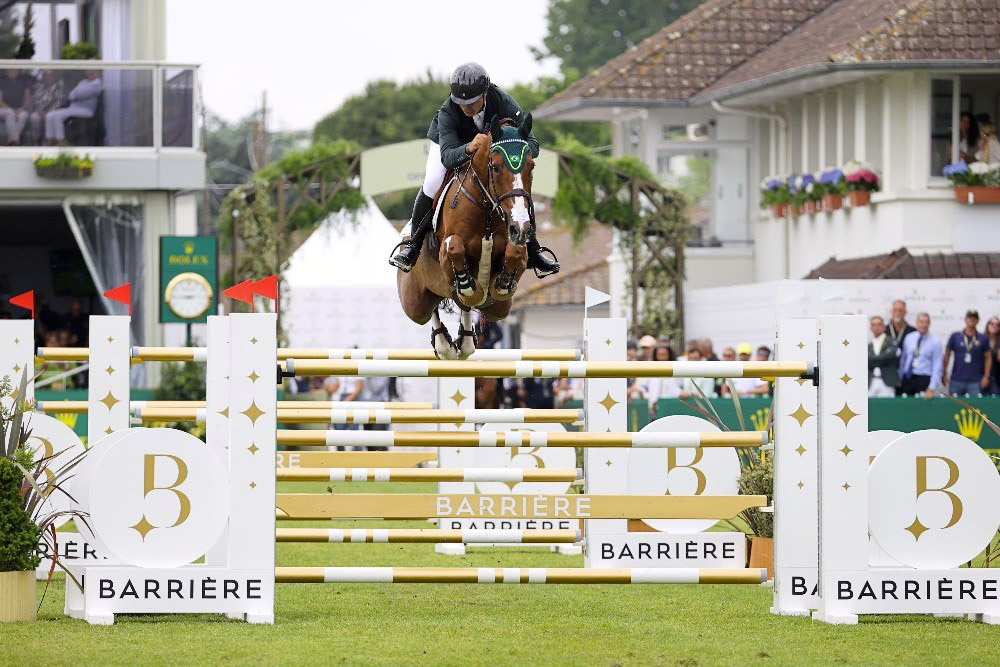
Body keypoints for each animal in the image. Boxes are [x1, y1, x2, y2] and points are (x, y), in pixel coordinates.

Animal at [396, 113, 540, 360]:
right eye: (496, 167)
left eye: (531, 166)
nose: (520, 227)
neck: (487, 210)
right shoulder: (447, 251)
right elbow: (454, 247)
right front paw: (467, 284)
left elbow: (515, 251)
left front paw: (502, 282)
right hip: (415, 303)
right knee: (430, 308)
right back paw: (444, 343)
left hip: (499, 309)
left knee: (464, 308)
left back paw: (464, 340)